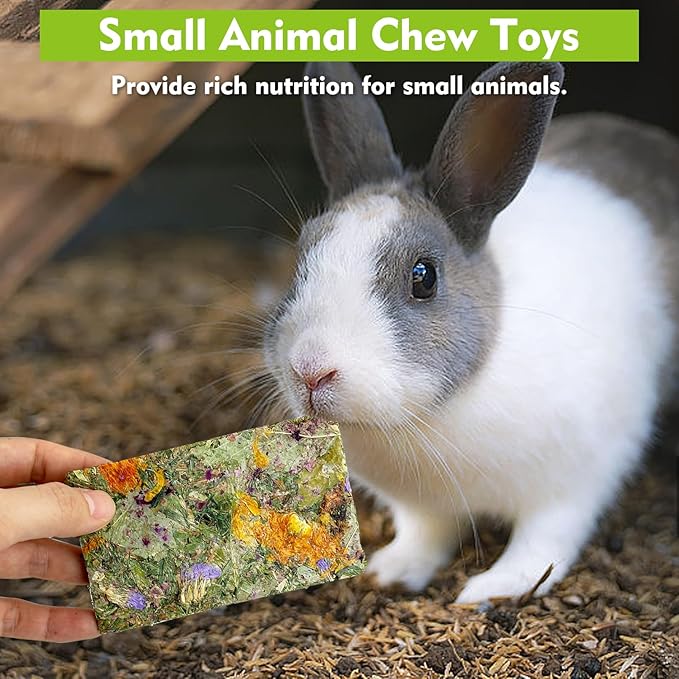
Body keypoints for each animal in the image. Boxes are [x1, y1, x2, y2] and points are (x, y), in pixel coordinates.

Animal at [262, 61, 679, 603]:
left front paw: (493, 589)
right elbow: (426, 534)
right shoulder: (423, 509)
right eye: (302, 257)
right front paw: (391, 571)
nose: (310, 370)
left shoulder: (574, 481)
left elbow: (543, 541)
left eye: (423, 277)